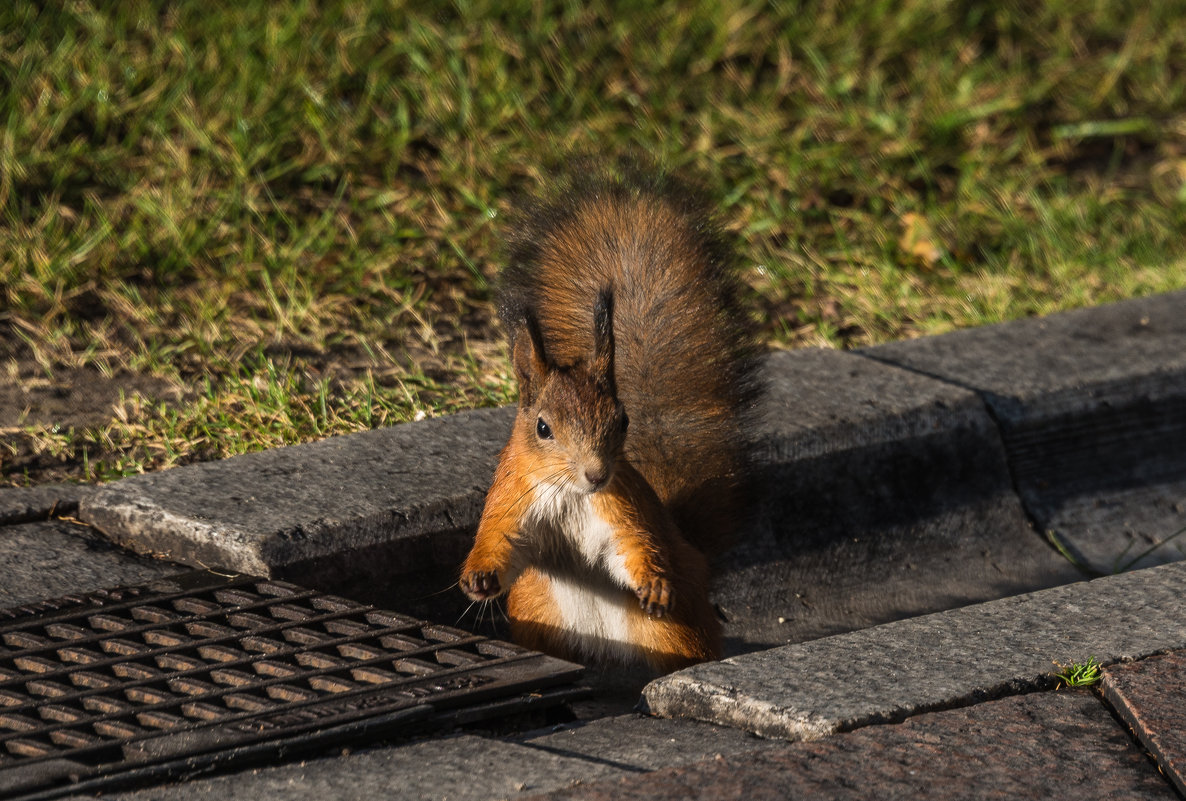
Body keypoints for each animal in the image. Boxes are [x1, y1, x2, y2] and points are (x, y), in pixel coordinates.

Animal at [457, 164, 754, 678]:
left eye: (622, 421)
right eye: (542, 428)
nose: (596, 474)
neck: (571, 495)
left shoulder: (624, 508)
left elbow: (636, 547)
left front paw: (654, 584)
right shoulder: (512, 498)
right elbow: (500, 542)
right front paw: (478, 579)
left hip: (673, 632)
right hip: (539, 614)